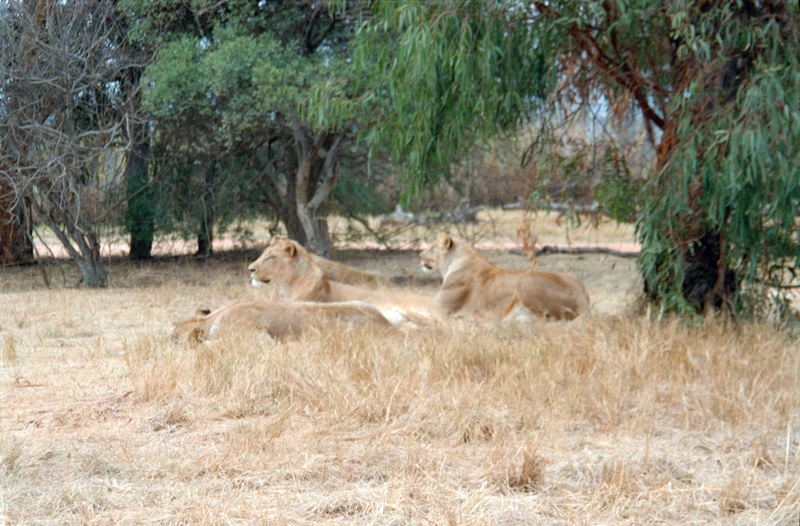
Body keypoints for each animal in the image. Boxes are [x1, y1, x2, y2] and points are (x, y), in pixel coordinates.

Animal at [422, 236, 592, 322]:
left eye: (431, 247)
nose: (419, 255)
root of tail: (580, 296)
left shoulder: (441, 306)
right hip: (572, 276)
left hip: (525, 282)